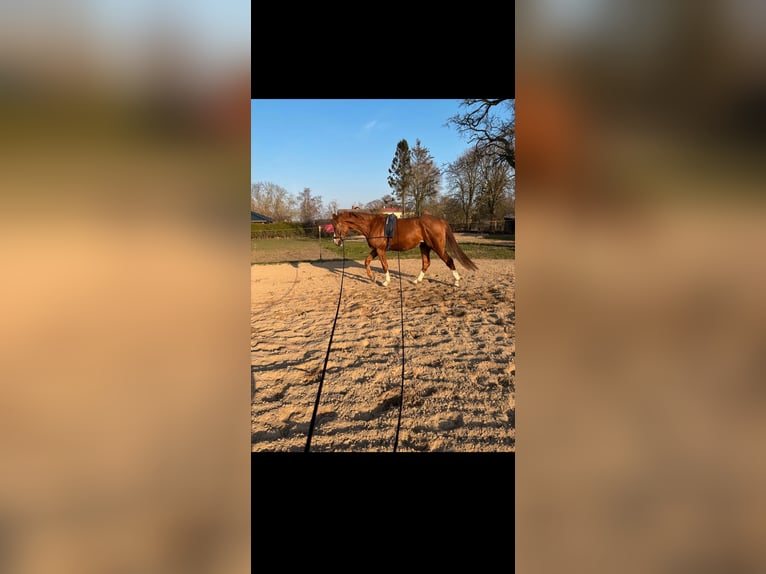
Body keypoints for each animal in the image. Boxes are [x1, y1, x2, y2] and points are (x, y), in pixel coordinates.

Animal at [331, 210, 478, 287]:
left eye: (336, 225)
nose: (336, 241)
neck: (372, 225)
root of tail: (440, 220)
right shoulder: (376, 249)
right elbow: (367, 261)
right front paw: (372, 277)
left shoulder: (380, 250)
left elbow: (384, 265)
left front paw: (386, 281)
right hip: (425, 247)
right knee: (426, 263)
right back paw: (417, 280)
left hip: (437, 247)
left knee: (449, 261)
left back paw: (456, 281)